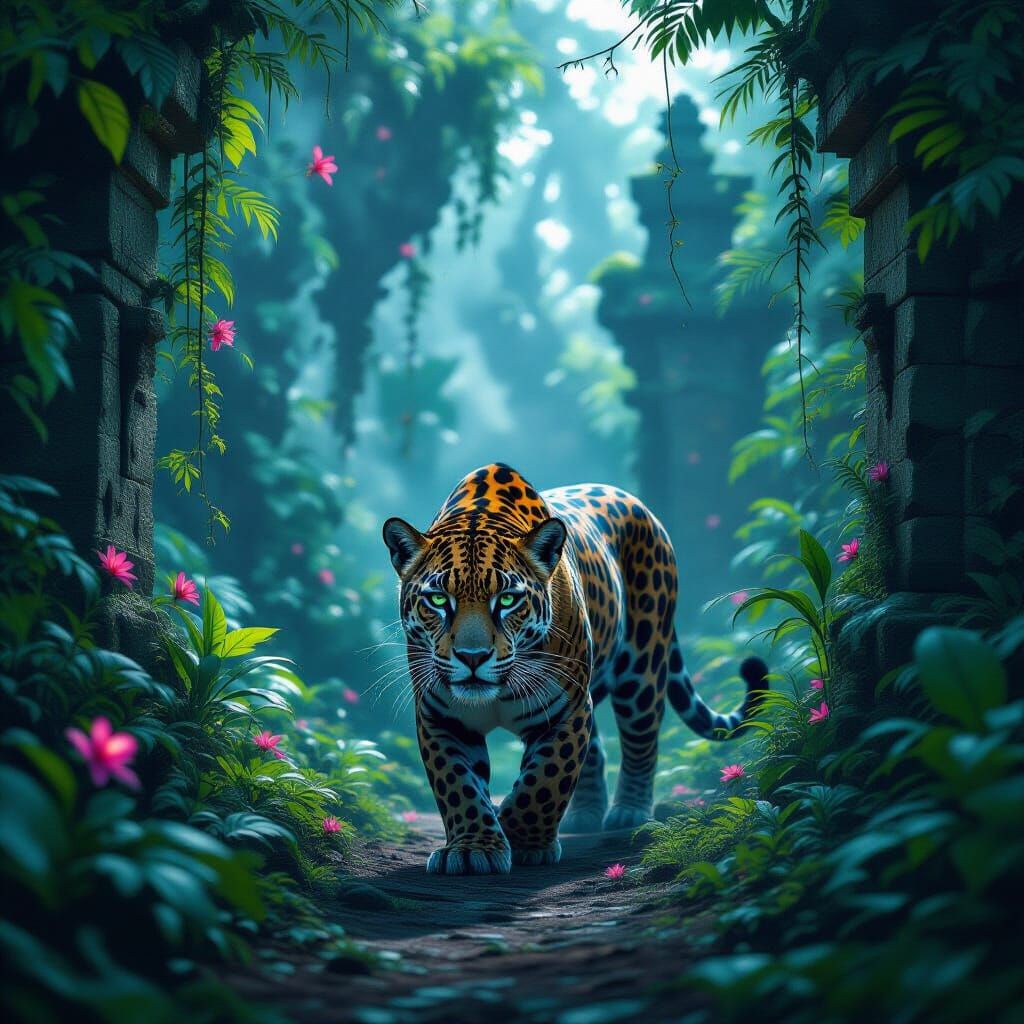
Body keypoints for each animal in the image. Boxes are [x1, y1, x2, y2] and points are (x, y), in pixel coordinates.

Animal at [382, 462, 767, 875]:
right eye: (438, 600)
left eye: (507, 599)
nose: (473, 656)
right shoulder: (441, 717)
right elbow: (458, 787)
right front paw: (473, 848)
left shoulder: (566, 711)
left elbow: (546, 779)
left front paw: (522, 839)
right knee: (596, 748)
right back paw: (584, 816)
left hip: (642, 668)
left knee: (641, 738)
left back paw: (629, 813)